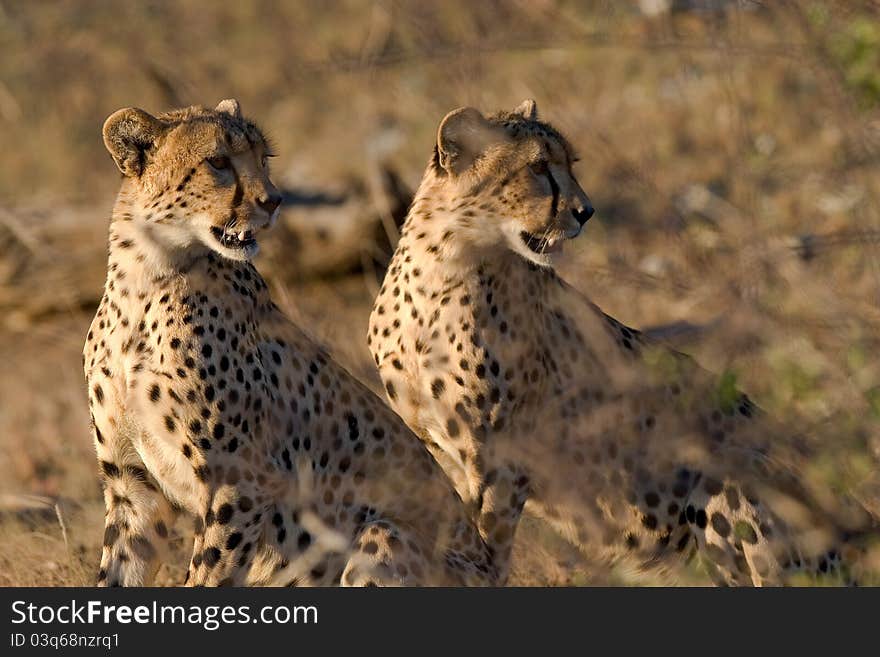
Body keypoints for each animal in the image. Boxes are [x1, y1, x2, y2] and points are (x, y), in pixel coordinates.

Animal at [83, 98, 498, 584]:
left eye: (263, 158)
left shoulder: (239, 482)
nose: (274, 201)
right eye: (218, 162)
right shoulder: (132, 485)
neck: (144, 280)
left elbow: (207, 574)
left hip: (380, 534)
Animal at [368, 98, 876, 584]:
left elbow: (488, 539)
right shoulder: (438, 448)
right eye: (537, 166)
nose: (585, 212)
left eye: (570, 162)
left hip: (733, 482)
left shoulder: (500, 458)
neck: (443, 270)